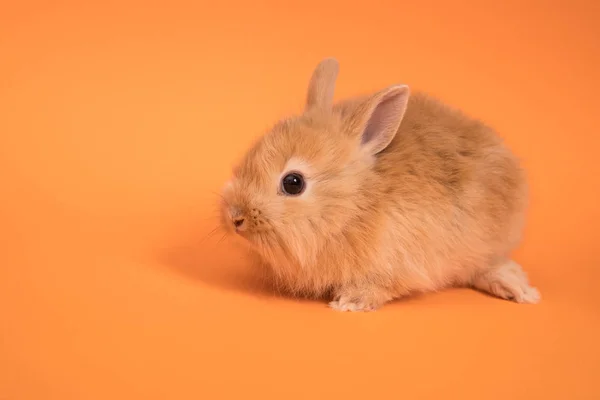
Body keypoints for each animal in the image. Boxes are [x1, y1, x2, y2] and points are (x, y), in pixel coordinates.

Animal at [218, 57, 540, 310]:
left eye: (293, 183)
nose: (235, 217)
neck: (354, 206)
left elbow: (382, 286)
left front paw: (350, 302)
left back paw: (519, 289)